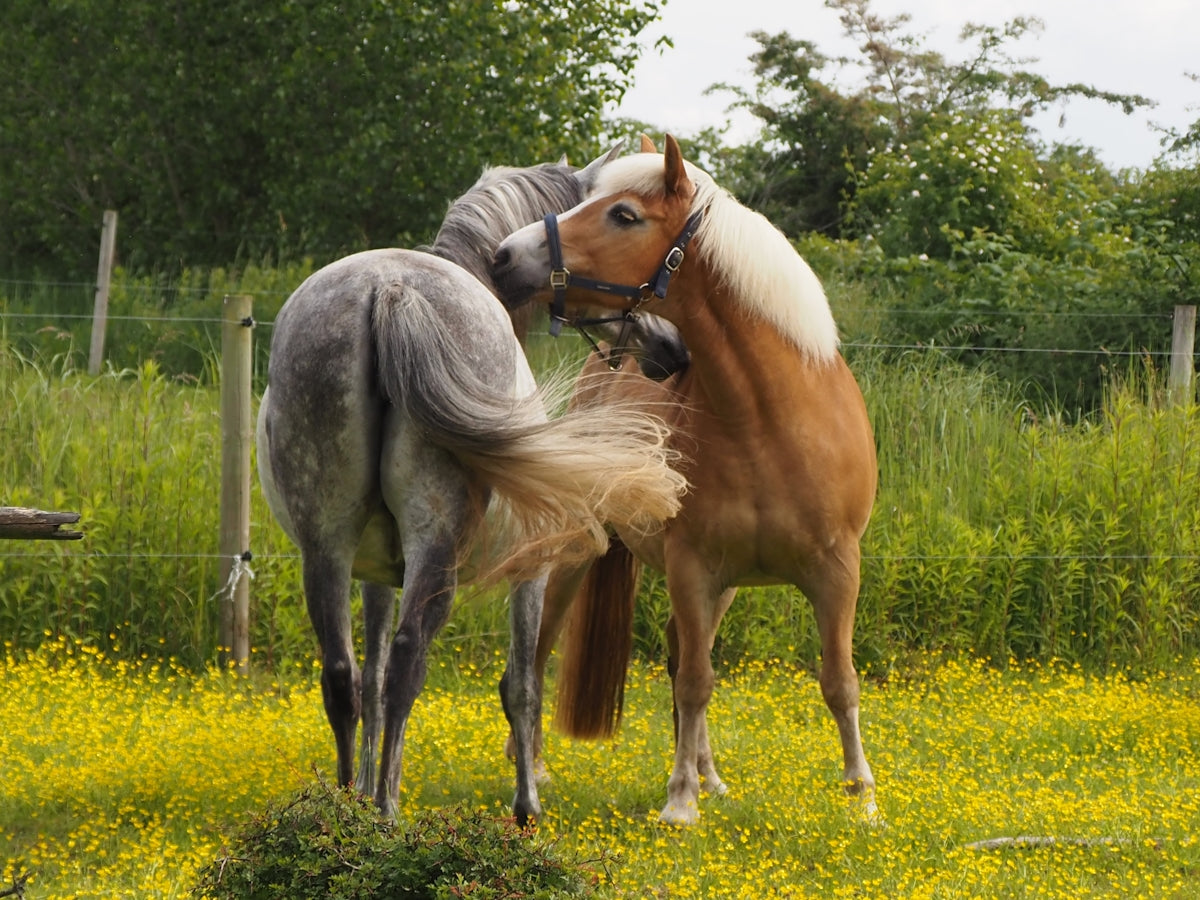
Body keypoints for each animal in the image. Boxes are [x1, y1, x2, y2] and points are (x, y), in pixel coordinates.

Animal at [255, 151, 690, 825]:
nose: (675, 349)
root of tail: (390, 289)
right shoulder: (530, 570)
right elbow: (521, 687)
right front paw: (527, 806)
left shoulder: (377, 572)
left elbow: (371, 678)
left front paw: (365, 788)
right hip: (436, 546)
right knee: (408, 664)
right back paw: (388, 816)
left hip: (325, 547)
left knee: (344, 676)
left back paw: (348, 812)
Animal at [492, 134, 879, 825]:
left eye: (624, 215)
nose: (506, 256)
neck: (769, 419)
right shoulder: (692, 565)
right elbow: (697, 681)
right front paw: (680, 804)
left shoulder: (836, 570)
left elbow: (839, 681)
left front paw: (862, 797)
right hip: (581, 556)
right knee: (540, 654)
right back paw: (531, 765)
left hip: (720, 589)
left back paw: (710, 774)